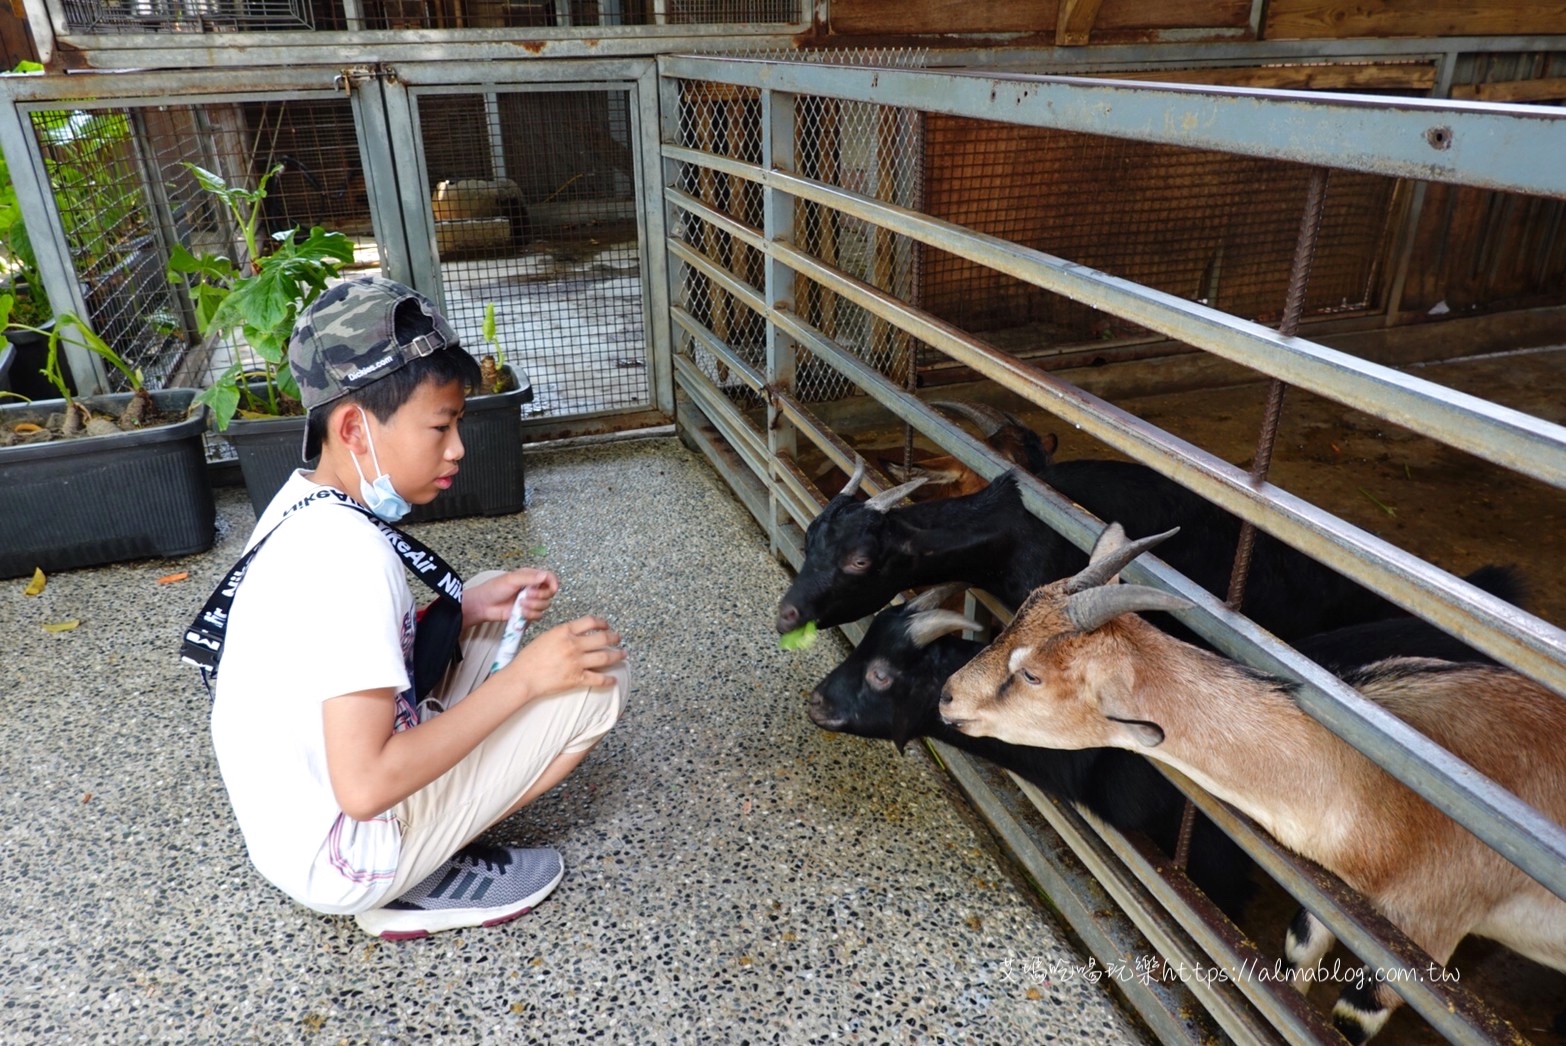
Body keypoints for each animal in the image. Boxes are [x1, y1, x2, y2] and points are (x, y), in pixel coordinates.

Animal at [939, 526, 1566, 1039]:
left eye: (1031, 675)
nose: (947, 697)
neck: (1374, 785)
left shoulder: (1425, 933)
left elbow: (1351, 1016)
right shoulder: (1335, 902)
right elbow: (1295, 962)